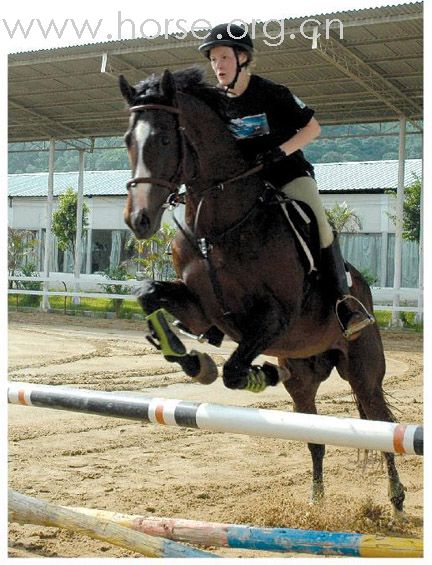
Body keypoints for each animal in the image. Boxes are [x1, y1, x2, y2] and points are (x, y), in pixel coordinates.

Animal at [119, 68, 404, 512]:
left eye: (165, 139)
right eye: (128, 140)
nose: (139, 220)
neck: (217, 225)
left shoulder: (275, 318)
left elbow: (235, 371)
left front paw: (255, 374)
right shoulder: (202, 309)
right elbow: (149, 294)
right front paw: (188, 357)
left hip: (362, 368)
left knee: (381, 421)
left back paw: (395, 497)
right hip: (302, 376)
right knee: (315, 436)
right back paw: (316, 502)